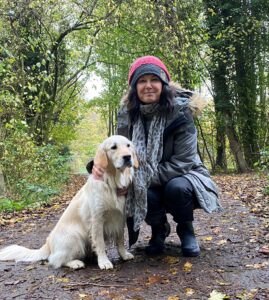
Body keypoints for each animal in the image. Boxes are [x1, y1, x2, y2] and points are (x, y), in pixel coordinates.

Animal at [0, 135, 138, 270]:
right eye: (113, 147)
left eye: (128, 145)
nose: (127, 157)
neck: (112, 182)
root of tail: (48, 243)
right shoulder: (97, 220)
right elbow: (100, 243)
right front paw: (104, 262)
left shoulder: (120, 218)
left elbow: (120, 240)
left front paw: (124, 255)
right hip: (75, 237)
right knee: (55, 260)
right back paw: (75, 263)